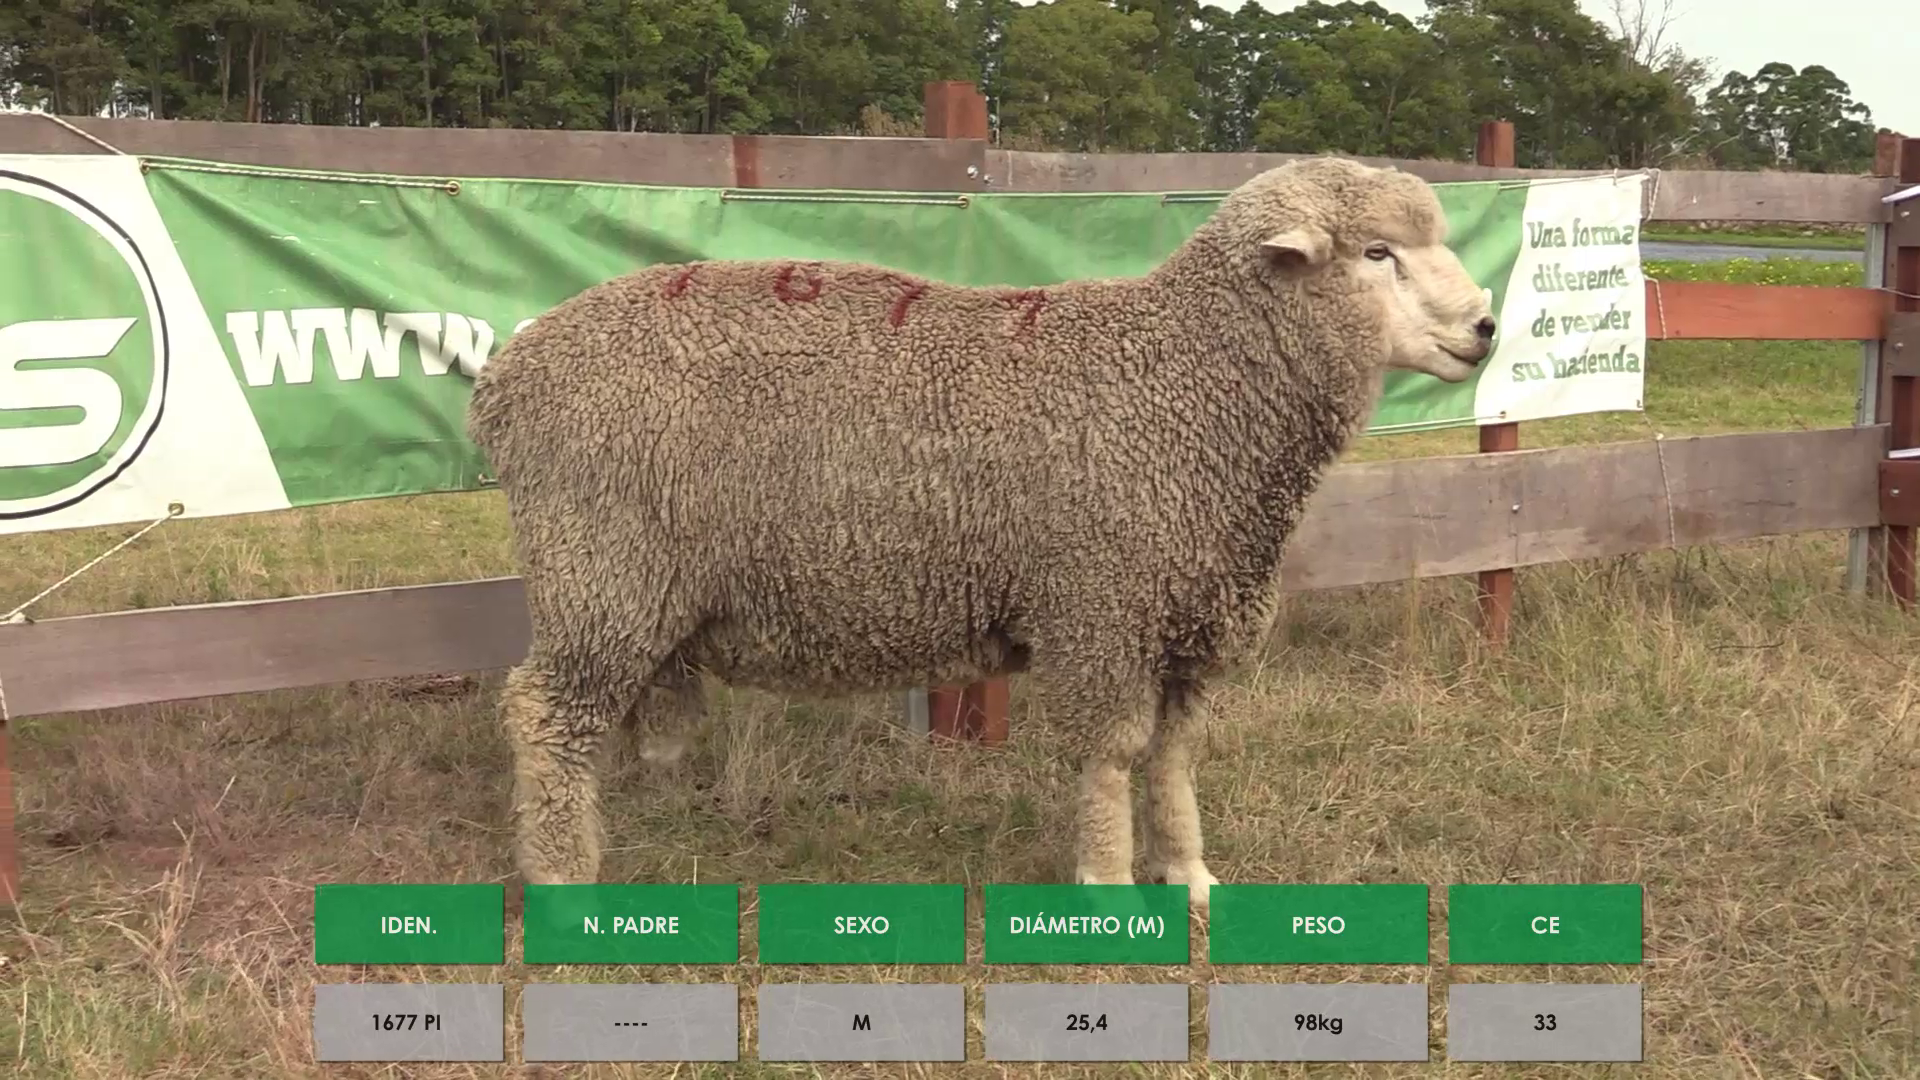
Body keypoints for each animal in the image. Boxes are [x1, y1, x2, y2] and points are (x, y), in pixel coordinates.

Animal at [465, 154, 1497, 911]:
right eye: (1376, 254)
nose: (1487, 328)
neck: (1186, 381)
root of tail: (509, 369)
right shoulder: (1101, 608)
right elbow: (1112, 755)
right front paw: (1107, 884)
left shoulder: (1183, 617)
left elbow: (1172, 757)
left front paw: (1192, 878)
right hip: (600, 564)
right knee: (544, 713)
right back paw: (561, 880)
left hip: (630, 583)